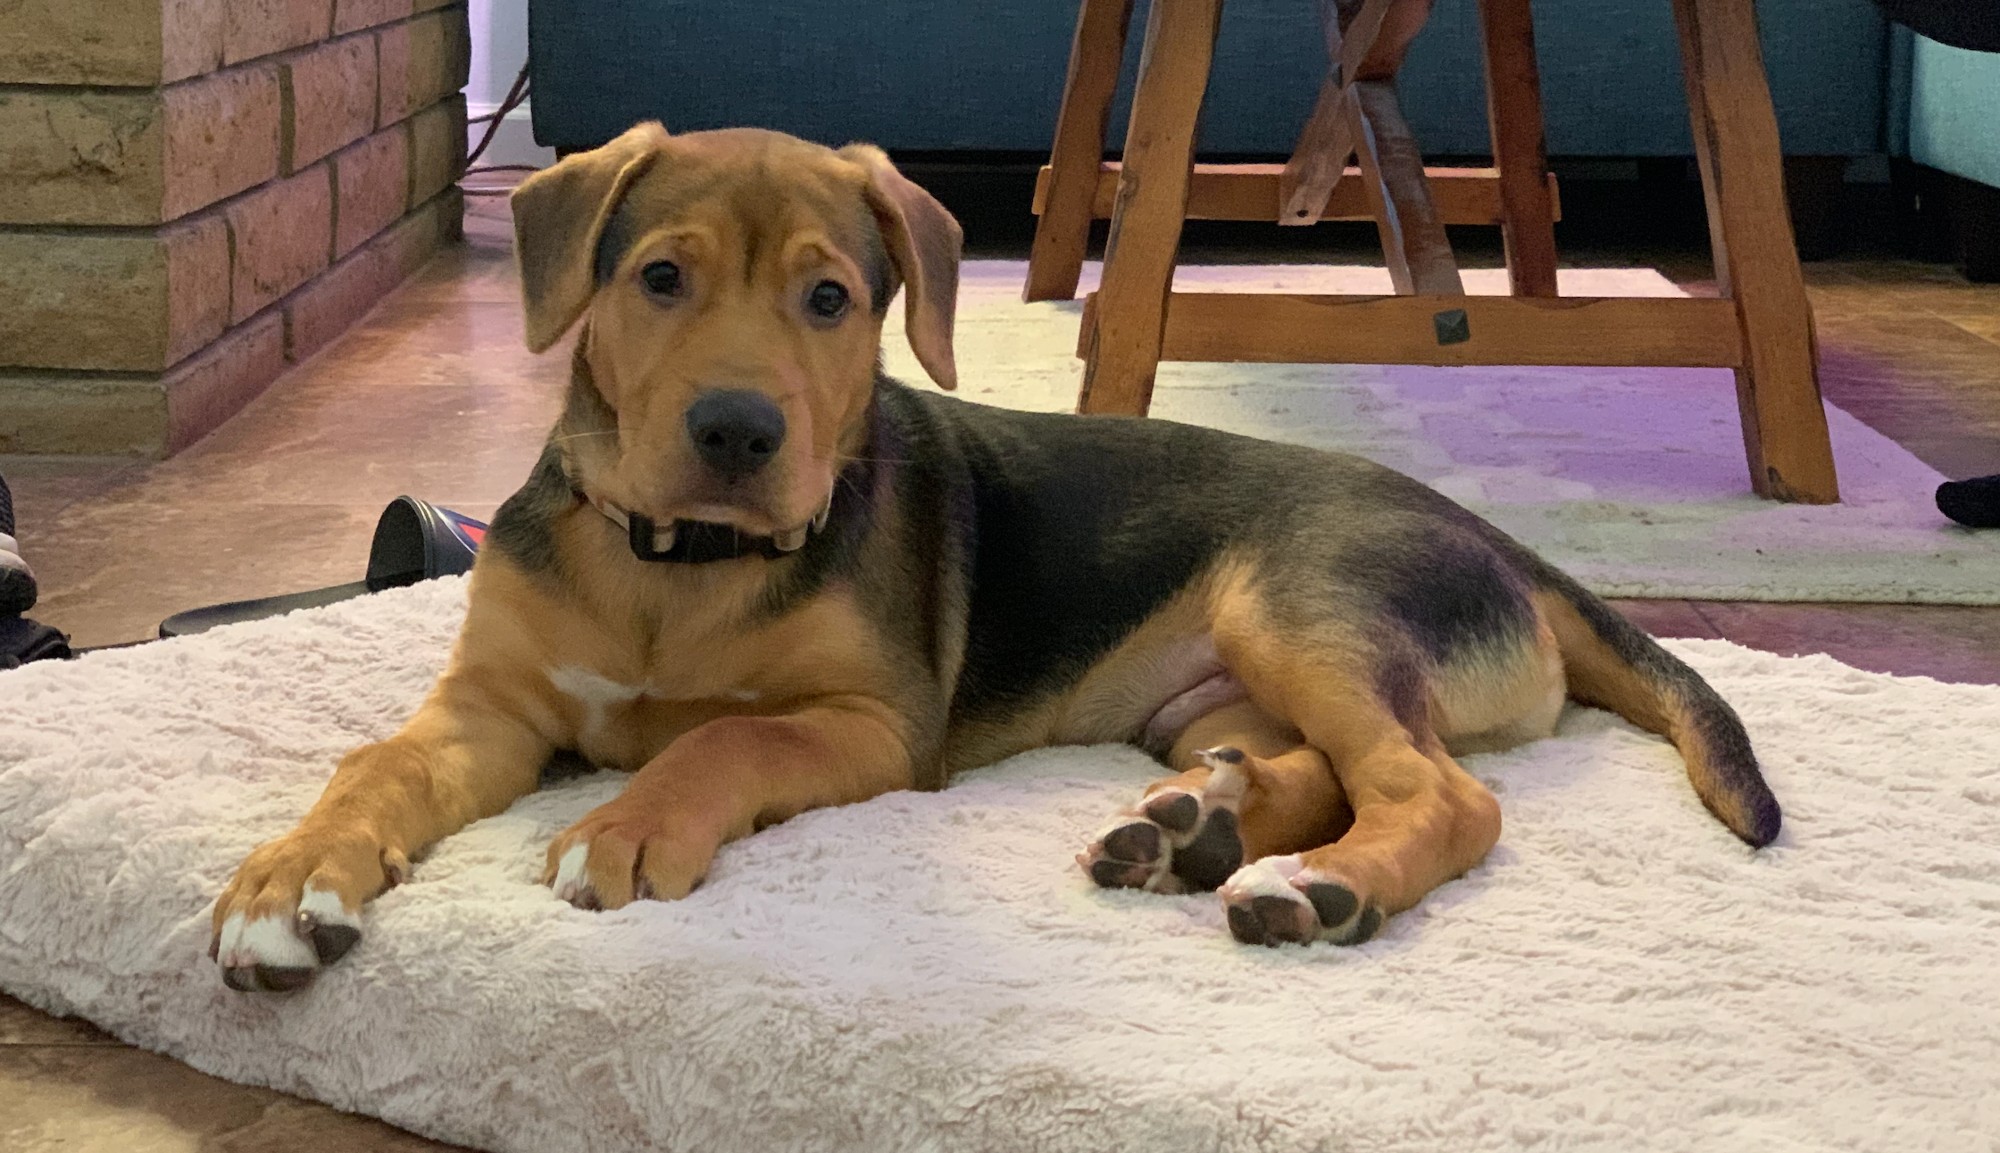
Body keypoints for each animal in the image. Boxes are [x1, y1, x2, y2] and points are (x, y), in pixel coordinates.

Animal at [210, 124, 1780, 990]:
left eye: (831, 302)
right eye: (658, 277)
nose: (737, 429)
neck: (680, 566)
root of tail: (1497, 540)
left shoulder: (875, 722)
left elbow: (724, 740)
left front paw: (629, 821)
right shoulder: (489, 706)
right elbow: (373, 767)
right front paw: (288, 883)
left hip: (1305, 605)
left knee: (1440, 791)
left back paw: (1309, 886)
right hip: (1211, 688)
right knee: (1326, 767)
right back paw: (1198, 825)